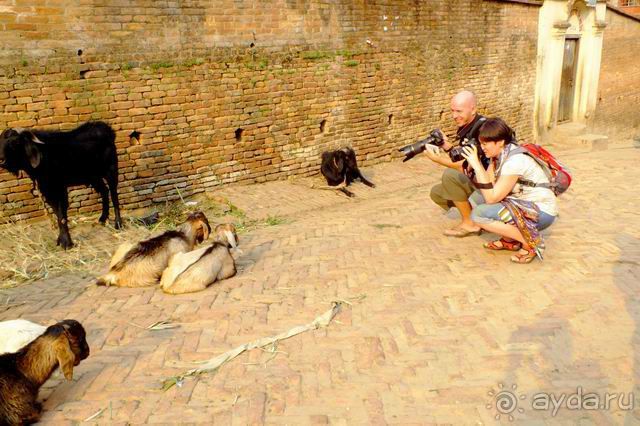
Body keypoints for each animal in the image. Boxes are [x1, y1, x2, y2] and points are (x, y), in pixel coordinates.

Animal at [0, 120, 122, 250]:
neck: (44, 154)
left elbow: (62, 214)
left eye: (16, 142)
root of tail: (107, 129)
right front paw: (60, 240)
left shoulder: (59, 187)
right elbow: (57, 213)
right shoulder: (47, 190)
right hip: (93, 176)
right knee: (104, 191)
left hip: (111, 169)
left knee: (114, 194)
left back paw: (118, 224)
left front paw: (66, 243)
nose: (1, 160)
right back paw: (102, 219)